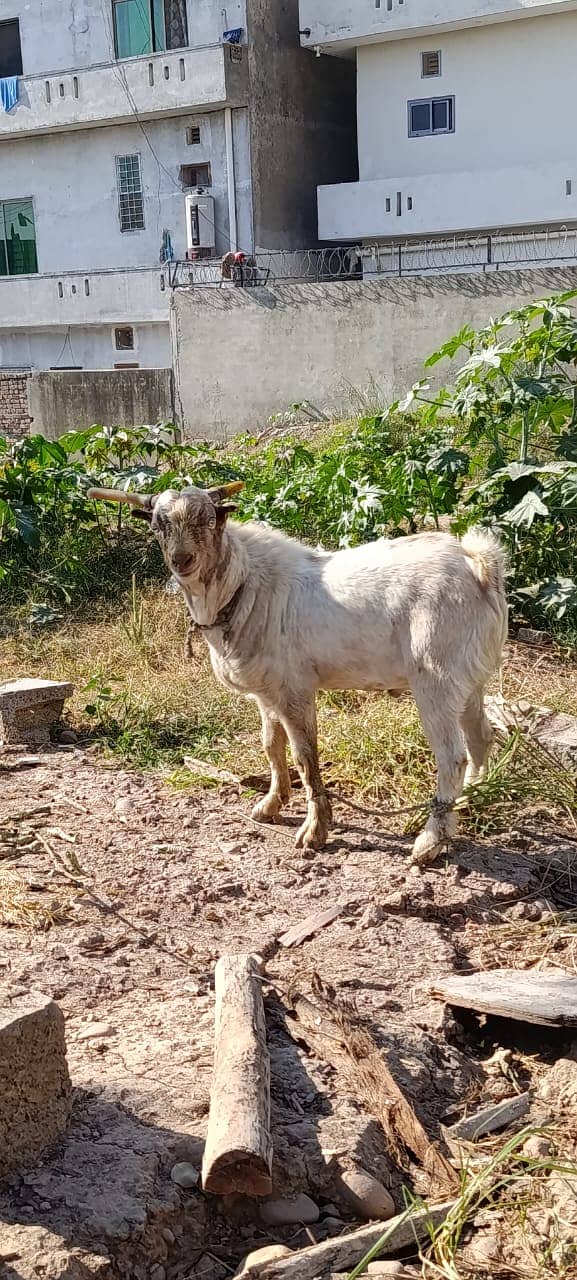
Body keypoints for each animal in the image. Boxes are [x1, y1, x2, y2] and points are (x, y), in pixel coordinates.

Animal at [88, 483, 509, 865]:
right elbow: (271, 746)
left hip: (435, 676)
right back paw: (470, 800)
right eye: (157, 525)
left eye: (209, 520)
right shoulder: (266, 691)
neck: (243, 586)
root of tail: (477, 564)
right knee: (481, 737)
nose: (182, 560)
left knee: (452, 756)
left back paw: (431, 840)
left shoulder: (294, 690)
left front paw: (314, 831)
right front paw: (271, 804)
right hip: (469, 678)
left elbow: (305, 757)